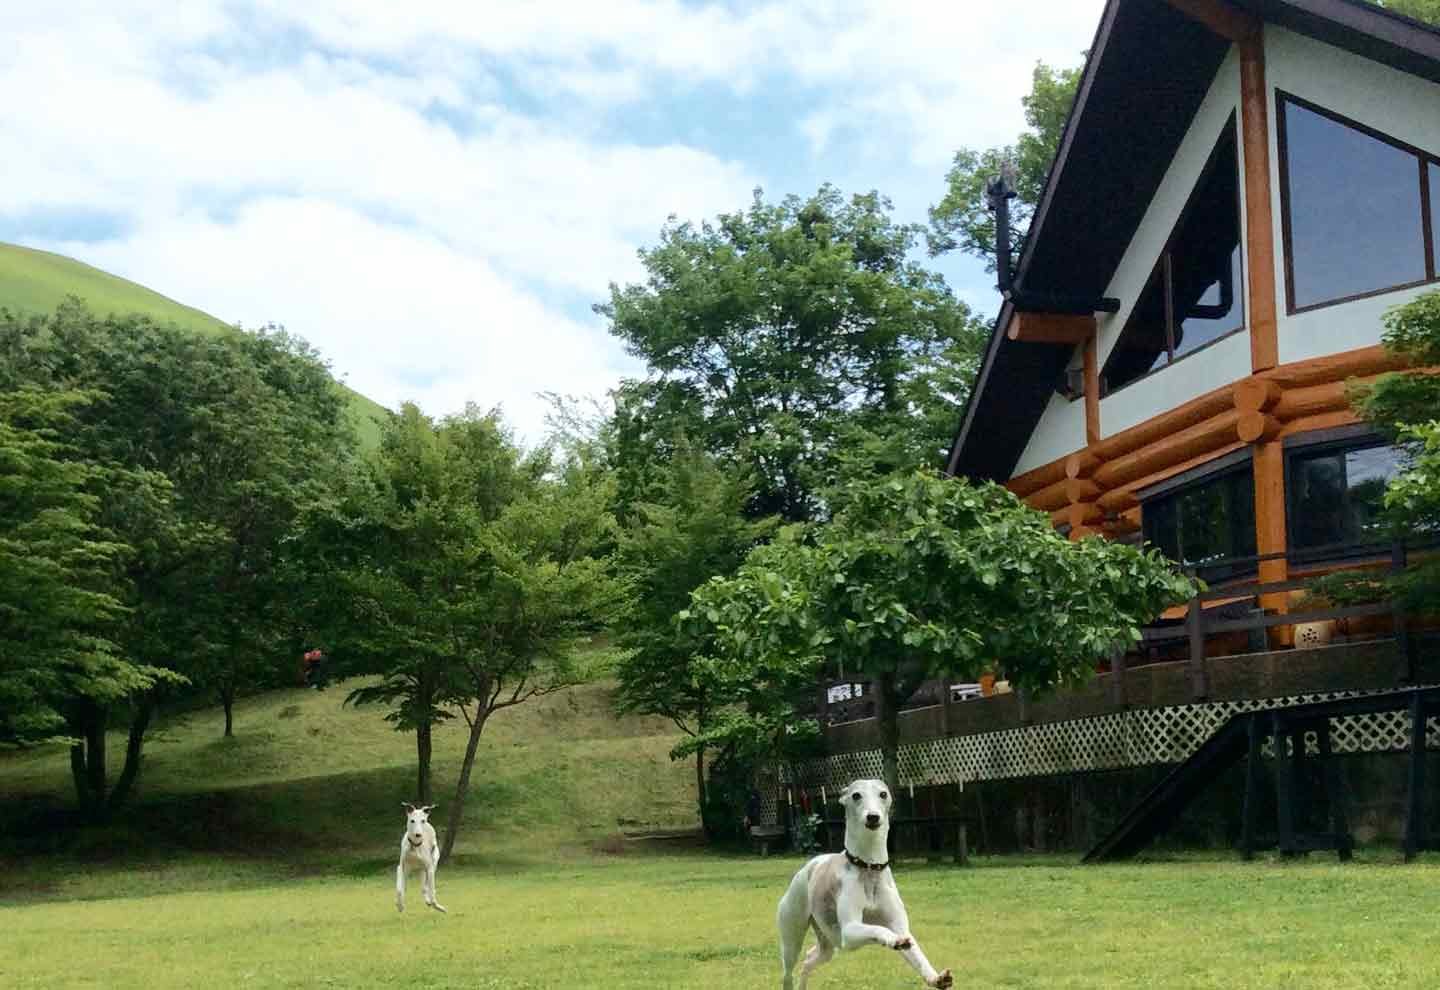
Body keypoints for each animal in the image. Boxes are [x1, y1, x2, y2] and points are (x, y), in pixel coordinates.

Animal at [777, 782, 956, 990]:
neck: (869, 866)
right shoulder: (849, 933)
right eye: (856, 795)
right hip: (793, 938)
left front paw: (935, 977)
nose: (873, 817)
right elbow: (878, 929)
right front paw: (892, 939)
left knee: (809, 958)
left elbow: (918, 956)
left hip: (828, 943)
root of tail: (811, 864)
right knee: (788, 971)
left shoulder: (901, 927)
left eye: (883, 794)